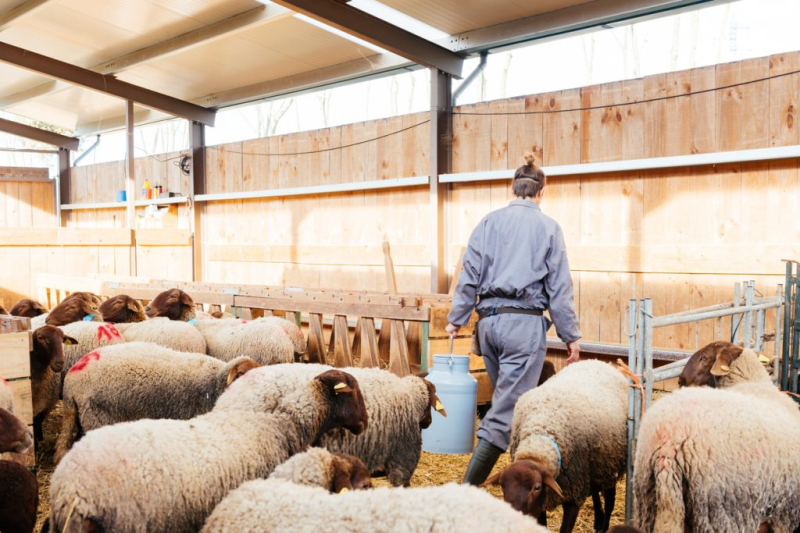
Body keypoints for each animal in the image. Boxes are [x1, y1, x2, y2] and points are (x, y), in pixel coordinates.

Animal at [484, 358, 628, 532]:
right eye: (503, 486)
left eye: (536, 487)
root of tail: (599, 361)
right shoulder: (543, 501)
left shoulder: (573, 497)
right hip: (596, 467)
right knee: (595, 493)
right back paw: (598, 520)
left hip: (610, 466)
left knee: (610, 500)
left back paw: (604, 524)